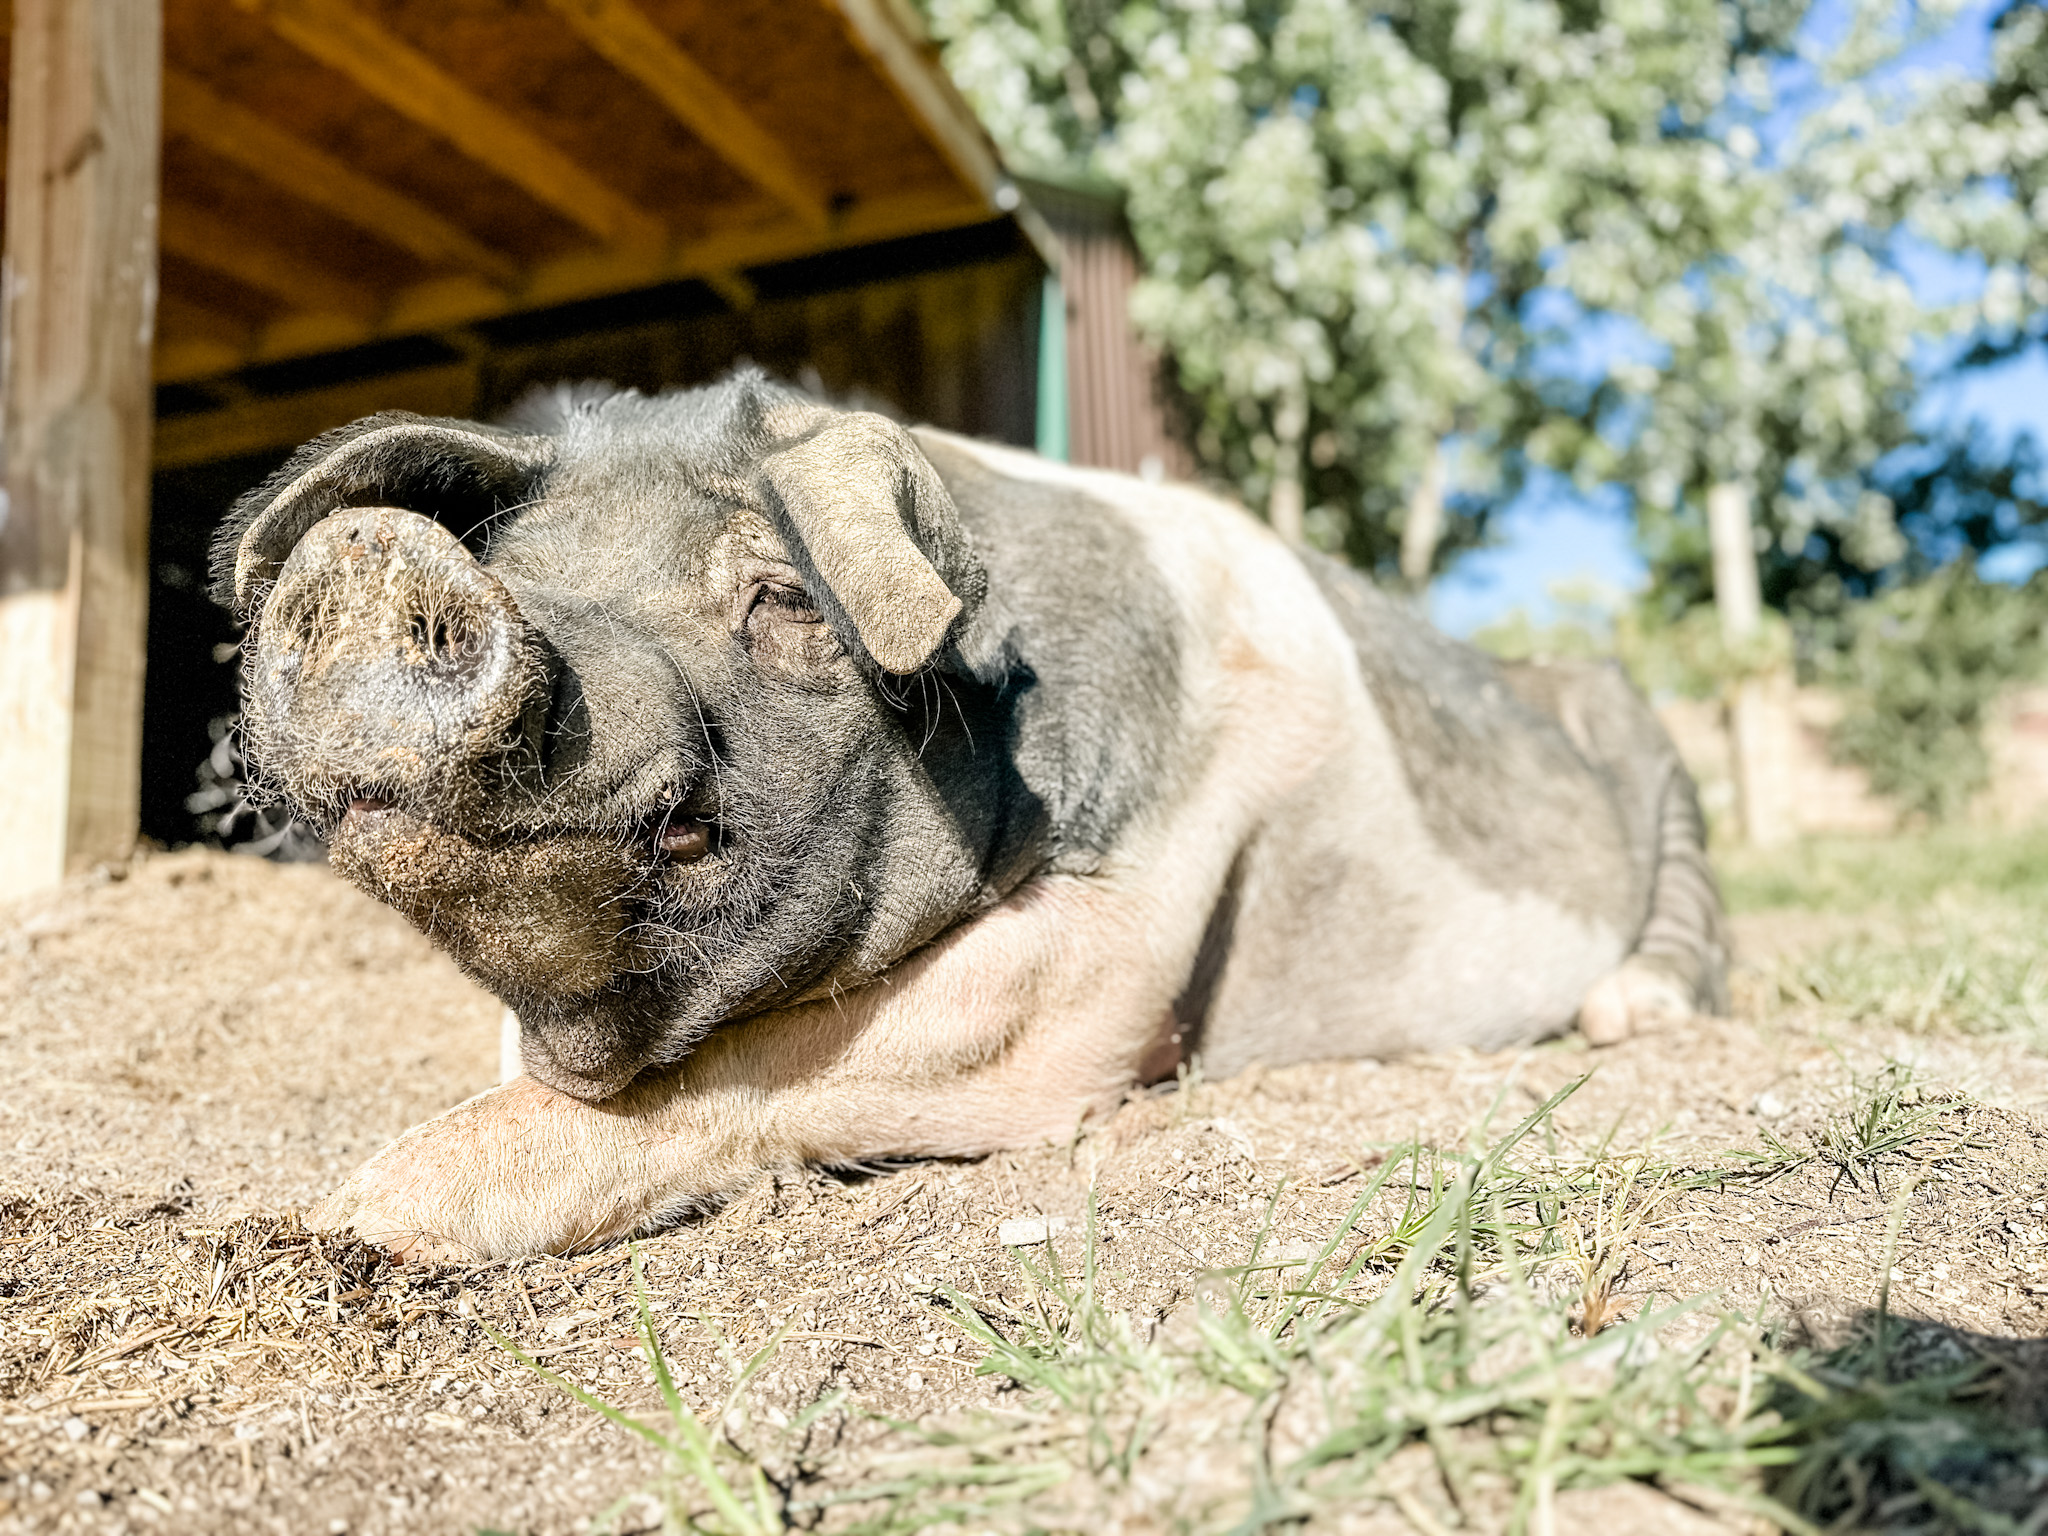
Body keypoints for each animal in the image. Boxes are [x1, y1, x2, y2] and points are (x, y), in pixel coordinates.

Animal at [216, 372, 1728, 1261]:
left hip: (1657, 750)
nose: (367, 552)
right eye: (515, 566)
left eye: (779, 597)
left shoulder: (1119, 931)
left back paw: (1624, 1016)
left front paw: (350, 1218)